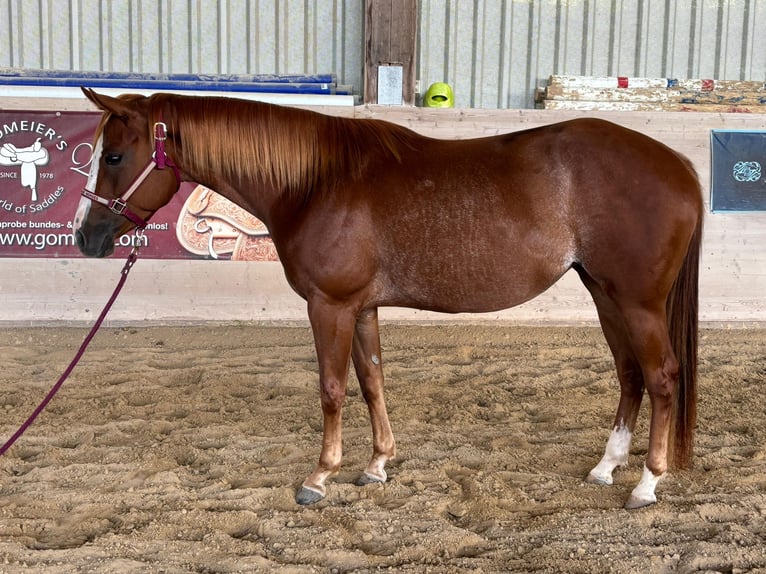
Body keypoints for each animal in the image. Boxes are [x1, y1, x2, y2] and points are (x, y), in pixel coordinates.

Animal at [74, 88, 703, 509]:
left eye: (114, 156)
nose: (86, 238)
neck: (316, 183)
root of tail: (680, 166)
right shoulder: (362, 307)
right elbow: (372, 379)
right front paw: (376, 465)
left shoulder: (329, 306)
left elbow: (331, 390)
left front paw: (319, 477)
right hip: (604, 294)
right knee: (630, 374)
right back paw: (606, 467)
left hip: (637, 303)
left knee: (662, 377)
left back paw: (647, 482)